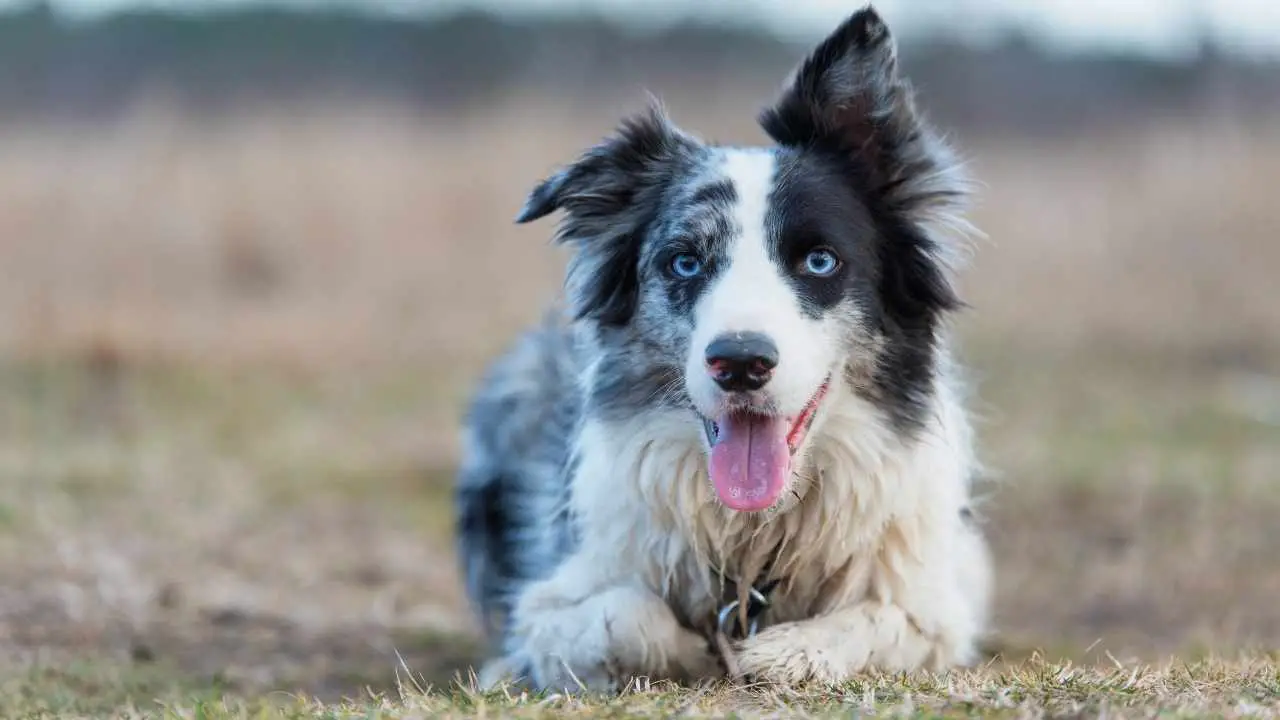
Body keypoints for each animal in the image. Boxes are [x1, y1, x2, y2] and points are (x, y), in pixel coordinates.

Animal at [455, 5, 993, 691]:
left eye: (820, 261)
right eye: (685, 262)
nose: (740, 363)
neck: (753, 536)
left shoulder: (936, 602)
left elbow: (876, 619)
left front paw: (784, 652)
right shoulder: (556, 593)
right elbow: (621, 616)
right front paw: (695, 651)